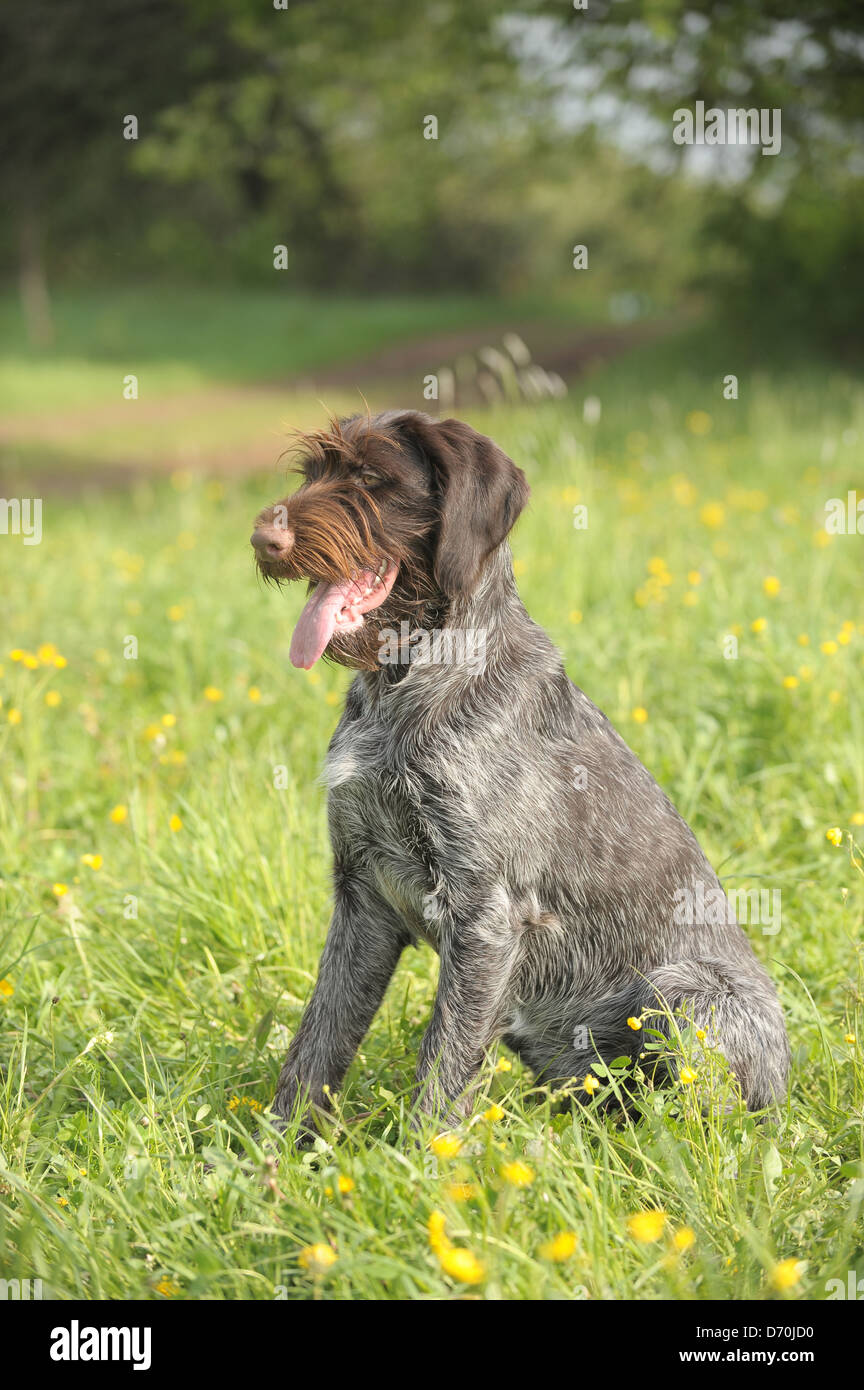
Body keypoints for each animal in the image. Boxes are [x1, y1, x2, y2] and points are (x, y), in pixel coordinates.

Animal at [250, 408, 794, 1128]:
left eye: (370, 475)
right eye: (312, 471)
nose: (263, 538)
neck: (405, 683)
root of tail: (787, 1086)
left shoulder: (486, 915)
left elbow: (443, 1064)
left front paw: (423, 1157)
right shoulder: (362, 895)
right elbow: (319, 1041)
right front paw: (277, 1150)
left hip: (684, 994)